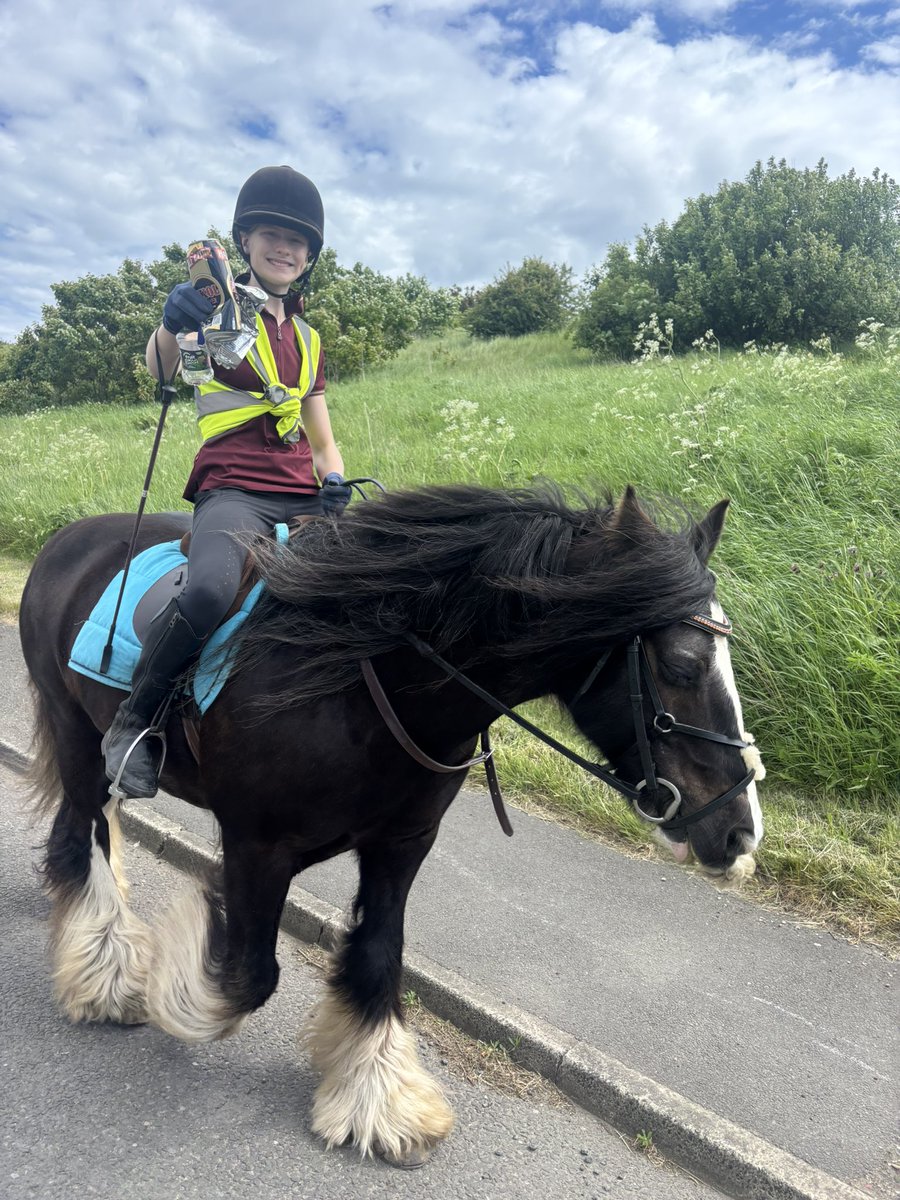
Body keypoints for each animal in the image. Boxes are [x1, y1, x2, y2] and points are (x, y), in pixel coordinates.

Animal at [18, 482, 764, 1167]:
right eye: (682, 664)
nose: (740, 832)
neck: (365, 676)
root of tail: (67, 539)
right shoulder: (258, 847)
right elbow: (247, 976)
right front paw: (180, 962)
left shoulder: (400, 849)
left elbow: (377, 956)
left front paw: (378, 1100)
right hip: (79, 738)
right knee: (82, 836)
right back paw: (108, 974)